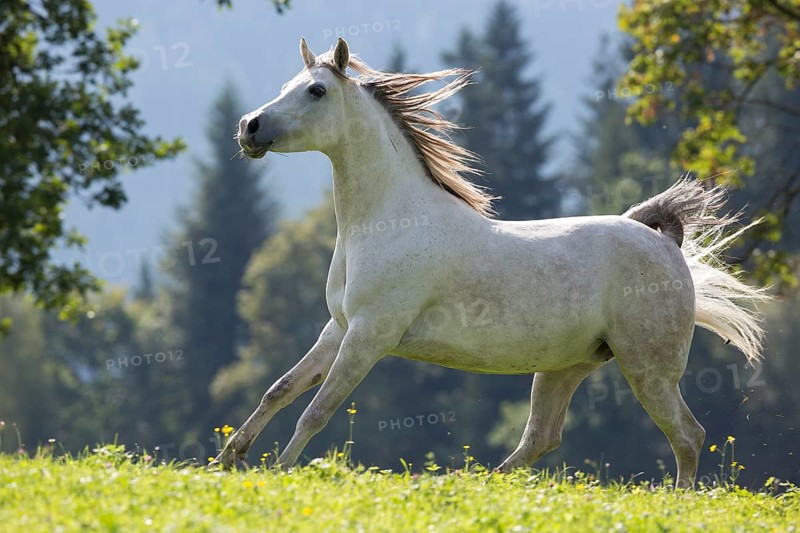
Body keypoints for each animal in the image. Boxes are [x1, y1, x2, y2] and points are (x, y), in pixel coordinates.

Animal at [211, 37, 769, 488]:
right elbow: (279, 390)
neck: (387, 222)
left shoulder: (370, 335)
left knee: (687, 435)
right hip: (566, 366)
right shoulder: (340, 328)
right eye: (287, 84)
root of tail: (666, 243)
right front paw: (228, 460)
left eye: (316, 91)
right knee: (541, 438)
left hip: (648, 369)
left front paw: (279, 471)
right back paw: (471, 481)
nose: (248, 127)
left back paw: (678, 500)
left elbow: (316, 411)